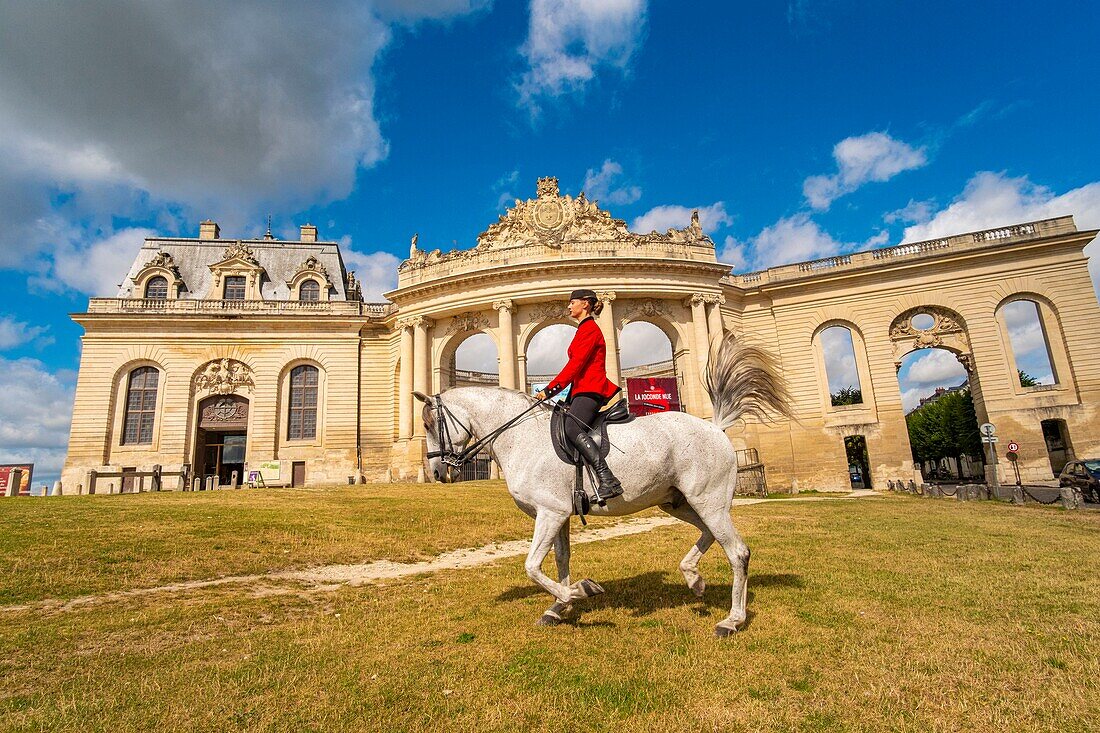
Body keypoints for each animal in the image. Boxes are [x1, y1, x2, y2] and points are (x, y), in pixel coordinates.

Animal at [413, 334, 792, 629]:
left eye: (431, 424)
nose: (437, 473)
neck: (520, 436)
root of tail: (715, 427)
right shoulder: (559, 514)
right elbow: (560, 560)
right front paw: (559, 608)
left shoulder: (550, 512)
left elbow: (532, 566)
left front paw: (580, 591)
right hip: (678, 502)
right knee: (710, 535)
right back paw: (694, 579)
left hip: (708, 501)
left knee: (737, 551)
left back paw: (733, 619)